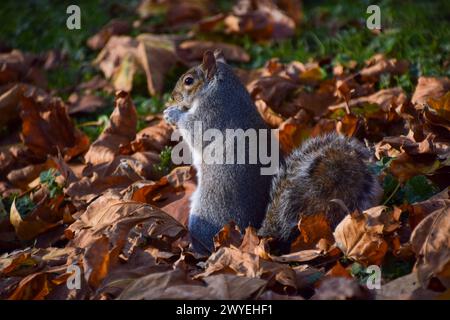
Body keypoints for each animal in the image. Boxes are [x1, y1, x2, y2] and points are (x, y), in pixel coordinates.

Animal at [163, 50, 382, 255]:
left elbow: (195, 130)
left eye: (188, 80)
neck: (219, 88)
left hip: (205, 212)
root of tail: (251, 234)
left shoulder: (211, 113)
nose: (172, 97)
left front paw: (172, 113)